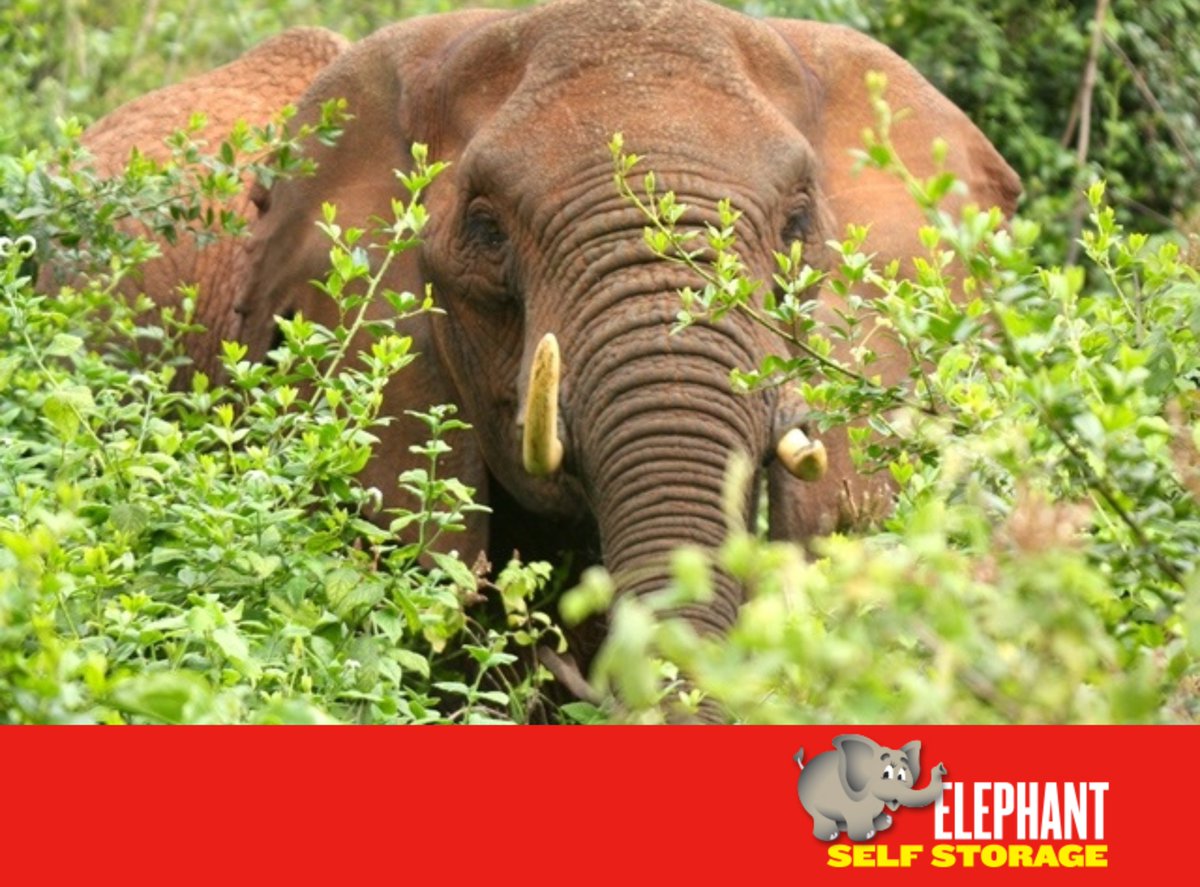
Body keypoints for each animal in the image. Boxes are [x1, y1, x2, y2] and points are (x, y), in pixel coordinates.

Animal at [795, 735, 947, 841]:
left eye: (902, 776)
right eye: (886, 774)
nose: (941, 767)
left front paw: (885, 822)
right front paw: (868, 835)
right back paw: (831, 835)